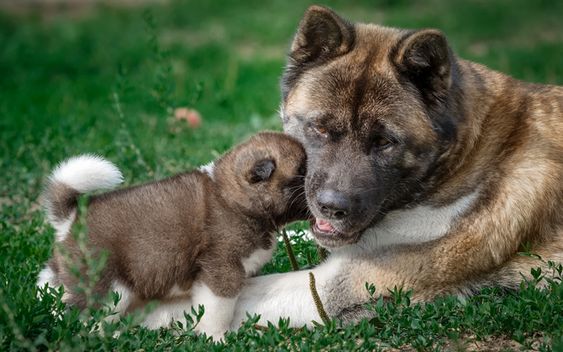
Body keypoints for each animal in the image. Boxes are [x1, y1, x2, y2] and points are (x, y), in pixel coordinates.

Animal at [36, 132, 308, 338]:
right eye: (301, 170)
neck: (234, 198)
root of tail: (71, 219)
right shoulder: (222, 270)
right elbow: (218, 310)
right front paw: (217, 337)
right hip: (108, 287)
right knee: (90, 316)